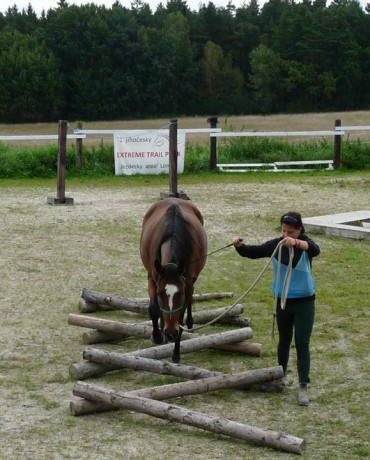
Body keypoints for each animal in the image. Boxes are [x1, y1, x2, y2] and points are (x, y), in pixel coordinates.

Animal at [139, 198, 208, 362]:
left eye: (180, 294)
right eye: (160, 294)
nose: (170, 333)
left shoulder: (187, 284)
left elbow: (180, 317)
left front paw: (176, 354)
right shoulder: (152, 278)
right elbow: (154, 309)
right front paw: (157, 336)